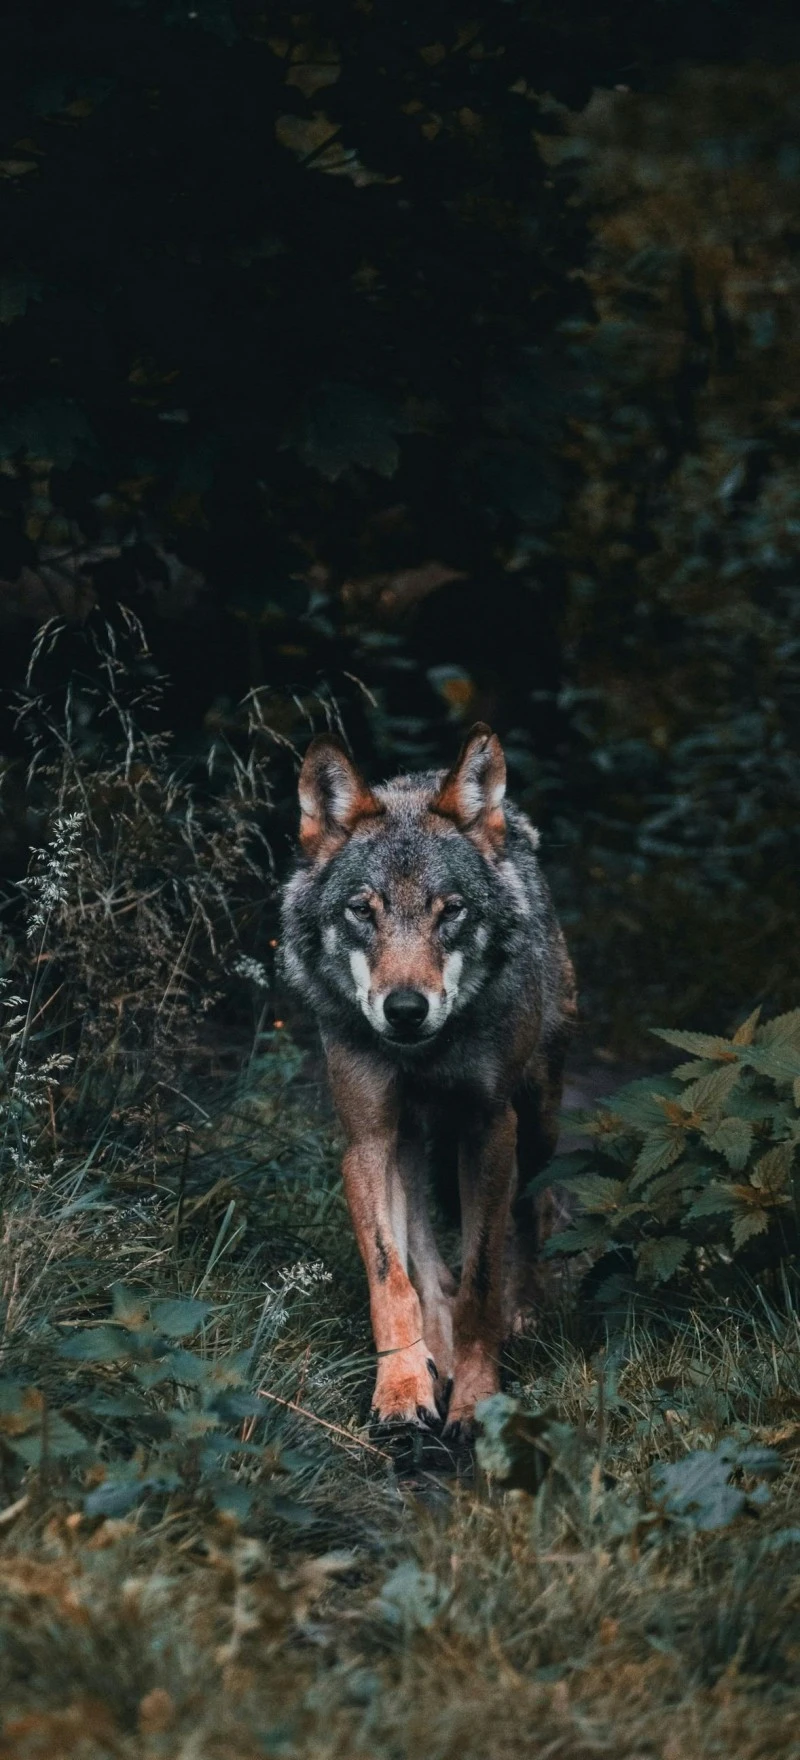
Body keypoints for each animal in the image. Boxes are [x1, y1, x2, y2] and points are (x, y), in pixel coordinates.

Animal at [279, 723, 576, 1436]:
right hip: (409, 1143)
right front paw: (402, 1387)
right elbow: (393, 1279)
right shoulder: (366, 1140)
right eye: (363, 911)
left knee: (531, 1212)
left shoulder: (490, 1129)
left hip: (539, 1122)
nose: (407, 1009)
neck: (424, 1056)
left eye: (452, 912)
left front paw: (476, 1396)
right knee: (425, 1258)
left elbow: (481, 1279)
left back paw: (522, 1314)